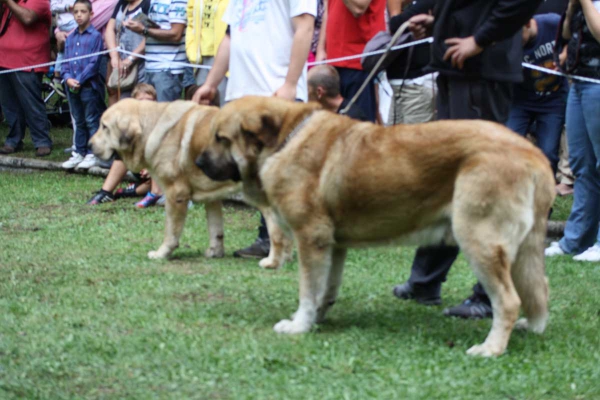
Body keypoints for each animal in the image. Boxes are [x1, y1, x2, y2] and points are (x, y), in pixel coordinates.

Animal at [89, 97, 290, 266]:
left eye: (104, 127)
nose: (89, 145)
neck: (150, 128)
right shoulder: (212, 196)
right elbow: (215, 228)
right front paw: (215, 252)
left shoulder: (175, 194)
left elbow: (171, 231)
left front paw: (162, 253)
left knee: (278, 233)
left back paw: (272, 261)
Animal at [195, 96, 556, 356]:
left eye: (221, 138)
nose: (198, 161)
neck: (286, 139)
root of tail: (533, 153)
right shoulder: (333, 245)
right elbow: (325, 289)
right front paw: (317, 320)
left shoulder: (310, 239)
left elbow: (308, 290)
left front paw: (299, 325)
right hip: (519, 250)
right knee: (539, 288)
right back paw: (533, 327)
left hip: (478, 240)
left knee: (508, 301)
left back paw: (491, 349)